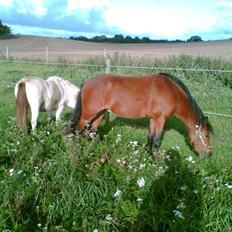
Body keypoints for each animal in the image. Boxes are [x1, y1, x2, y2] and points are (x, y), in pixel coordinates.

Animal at [71, 74, 213, 158]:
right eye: (206, 135)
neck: (173, 92)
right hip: (88, 114)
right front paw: (155, 158)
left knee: (91, 131)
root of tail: (87, 82)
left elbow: (150, 136)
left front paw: (147, 153)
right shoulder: (160, 119)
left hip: (100, 113)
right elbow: (157, 139)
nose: (208, 154)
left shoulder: (153, 119)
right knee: (78, 129)